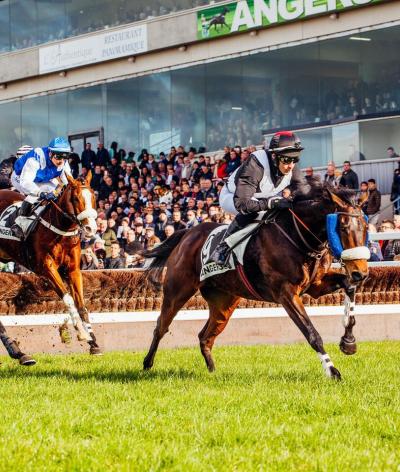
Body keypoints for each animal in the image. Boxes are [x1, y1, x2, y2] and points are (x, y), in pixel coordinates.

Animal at [0, 171, 101, 364]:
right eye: (76, 198)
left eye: (93, 196)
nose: (91, 228)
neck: (61, 230)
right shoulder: (47, 269)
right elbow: (68, 299)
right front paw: (82, 333)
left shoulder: (73, 270)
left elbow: (81, 305)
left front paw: (94, 343)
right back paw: (18, 352)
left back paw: (19, 353)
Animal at [143, 186, 368, 382]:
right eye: (343, 226)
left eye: (365, 227)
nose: (361, 272)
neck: (297, 237)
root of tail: (187, 233)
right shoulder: (286, 293)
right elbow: (311, 333)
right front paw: (332, 371)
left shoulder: (316, 285)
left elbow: (348, 286)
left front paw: (348, 342)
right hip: (178, 291)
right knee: (161, 327)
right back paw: (146, 364)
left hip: (224, 302)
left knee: (205, 336)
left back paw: (213, 372)